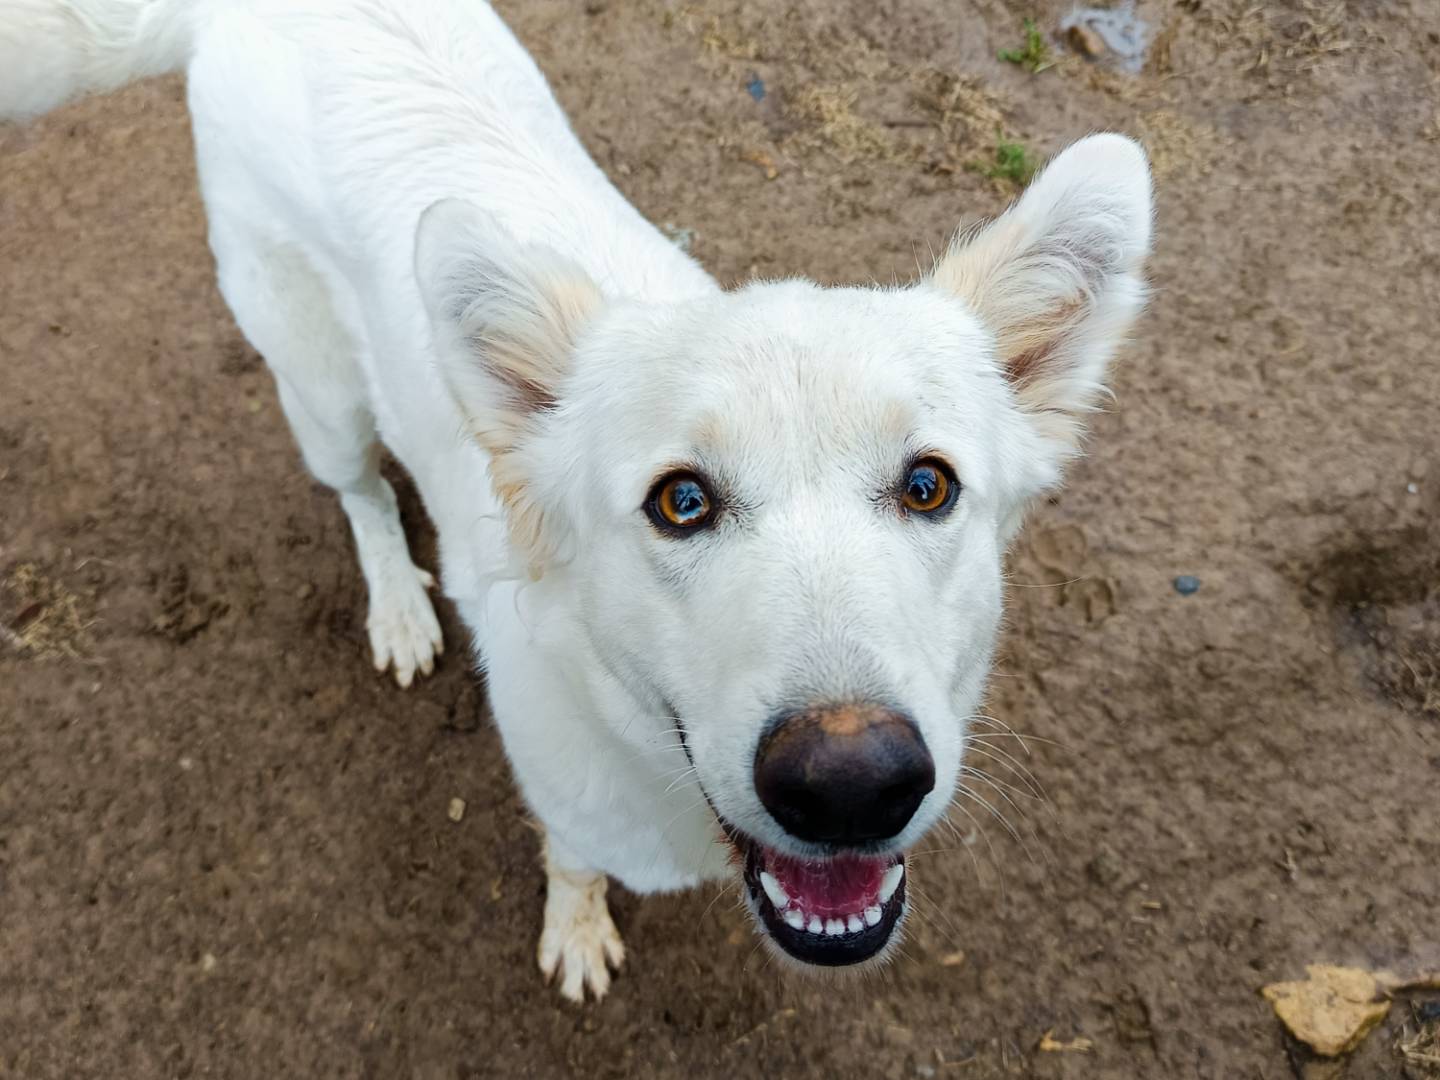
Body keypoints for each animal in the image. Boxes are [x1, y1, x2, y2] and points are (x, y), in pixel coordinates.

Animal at [0, 0, 1146, 1002]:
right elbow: (572, 861)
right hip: (319, 387)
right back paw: (399, 605)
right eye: (680, 502)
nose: (852, 783)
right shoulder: (566, 796)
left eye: (926, 486)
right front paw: (578, 926)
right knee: (362, 493)